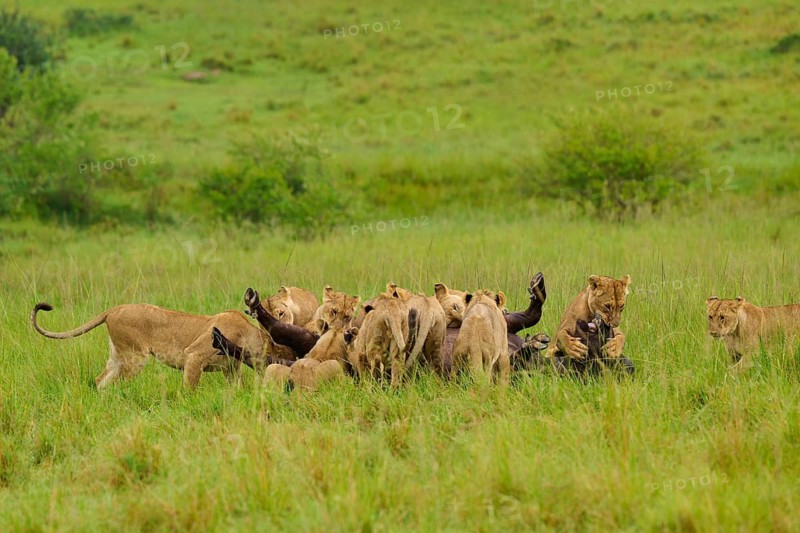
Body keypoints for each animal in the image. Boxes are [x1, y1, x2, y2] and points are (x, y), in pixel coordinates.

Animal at [32, 302, 274, 389]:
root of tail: (114, 309)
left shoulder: (231, 369)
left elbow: (236, 388)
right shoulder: (193, 356)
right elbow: (189, 388)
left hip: (117, 356)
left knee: (101, 380)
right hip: (135, 357)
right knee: (116, 382)